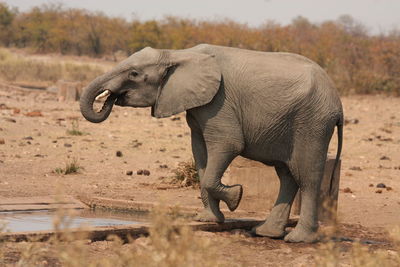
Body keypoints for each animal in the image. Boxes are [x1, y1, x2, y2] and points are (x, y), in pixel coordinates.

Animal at [79, 44, 342, 243]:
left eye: (133, 74)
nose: (109, 98)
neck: (177, 54)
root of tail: (338, 102)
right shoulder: (199, 107)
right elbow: (200, 154)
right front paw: (207, 220)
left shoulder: (220, 103)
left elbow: (228, 144)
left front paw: (236, 196)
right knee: (287, 175)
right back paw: (265, 233)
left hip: (312, 123)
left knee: (307, 176)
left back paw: (298, 239)